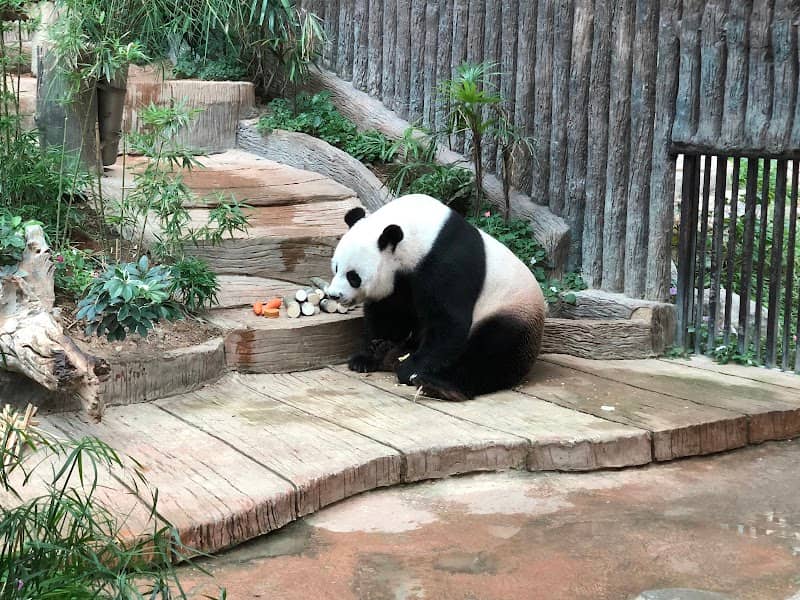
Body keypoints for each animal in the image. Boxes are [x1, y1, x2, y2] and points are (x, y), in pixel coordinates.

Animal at [326, 193, 546, 401]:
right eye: (336, 268)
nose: (334, 295)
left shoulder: (447, 263)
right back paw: (390, 353)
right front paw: (367, 356)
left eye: (353, 277)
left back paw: (441, 386)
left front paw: (409, 369)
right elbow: (389, 312)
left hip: (511, 309)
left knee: (492, 352)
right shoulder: (400, 279)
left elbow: (448, 323)